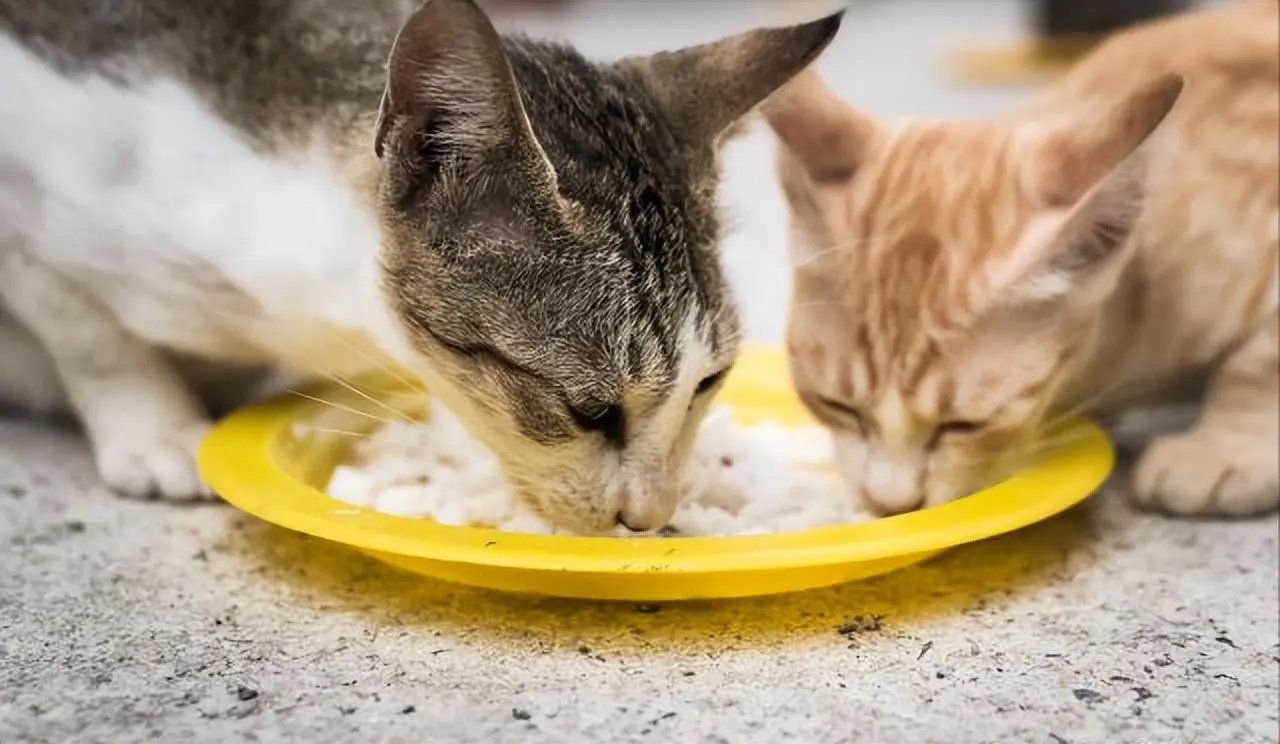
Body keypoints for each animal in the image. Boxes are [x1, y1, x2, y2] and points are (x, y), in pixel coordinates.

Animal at [0, 1, 844, 532]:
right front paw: (160, 429)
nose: (651, 517)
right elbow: (87, 329)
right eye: (588, 410)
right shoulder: (28, 195)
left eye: (709, 381)